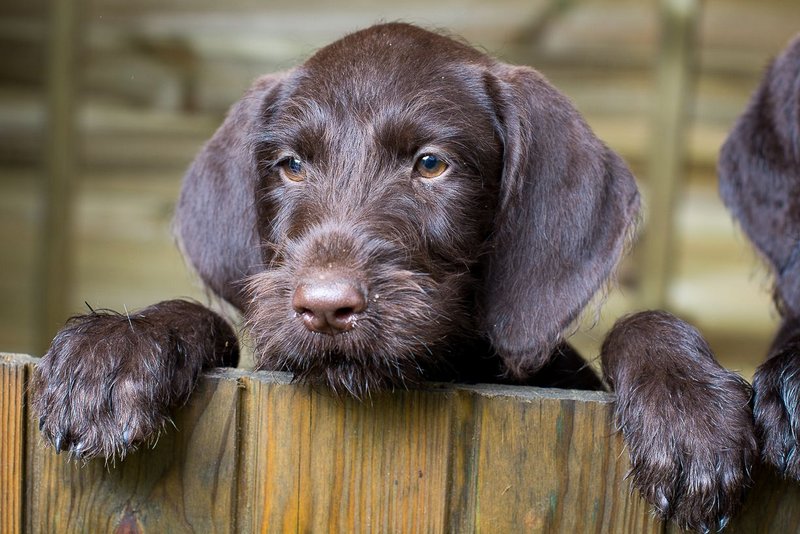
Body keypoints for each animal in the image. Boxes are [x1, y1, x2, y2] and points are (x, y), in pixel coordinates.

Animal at [32, 24, 756, 532]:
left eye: (431, 164)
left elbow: (641, 321)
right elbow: (207, 322)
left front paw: (687, 406)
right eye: (291, 165)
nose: (326, 307)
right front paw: (122, 346)